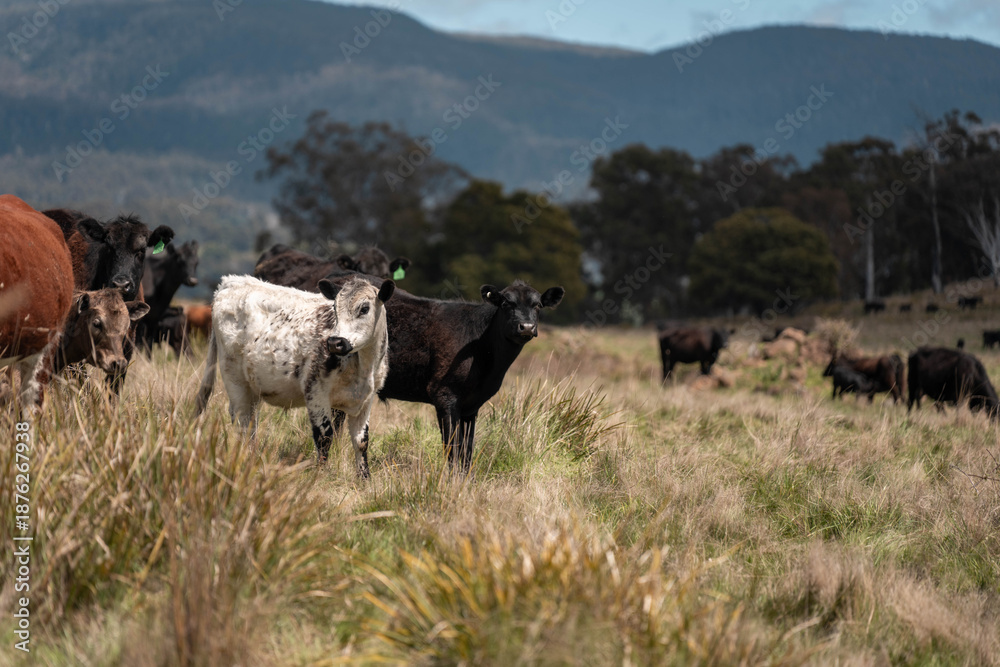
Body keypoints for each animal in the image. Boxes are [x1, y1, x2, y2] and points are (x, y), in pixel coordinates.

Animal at [195, 275, 394, 476]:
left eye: (364, 308)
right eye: (335, 308)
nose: (335, 342)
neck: (364, 367)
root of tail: (232, 282)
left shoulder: (366, 400)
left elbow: (361, 441)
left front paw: (364, 477)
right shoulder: (315, 392)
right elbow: (324, 436)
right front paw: (320, 475)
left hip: (252, 388)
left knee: (251, 423)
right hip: (234, 379)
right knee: (242, 422)